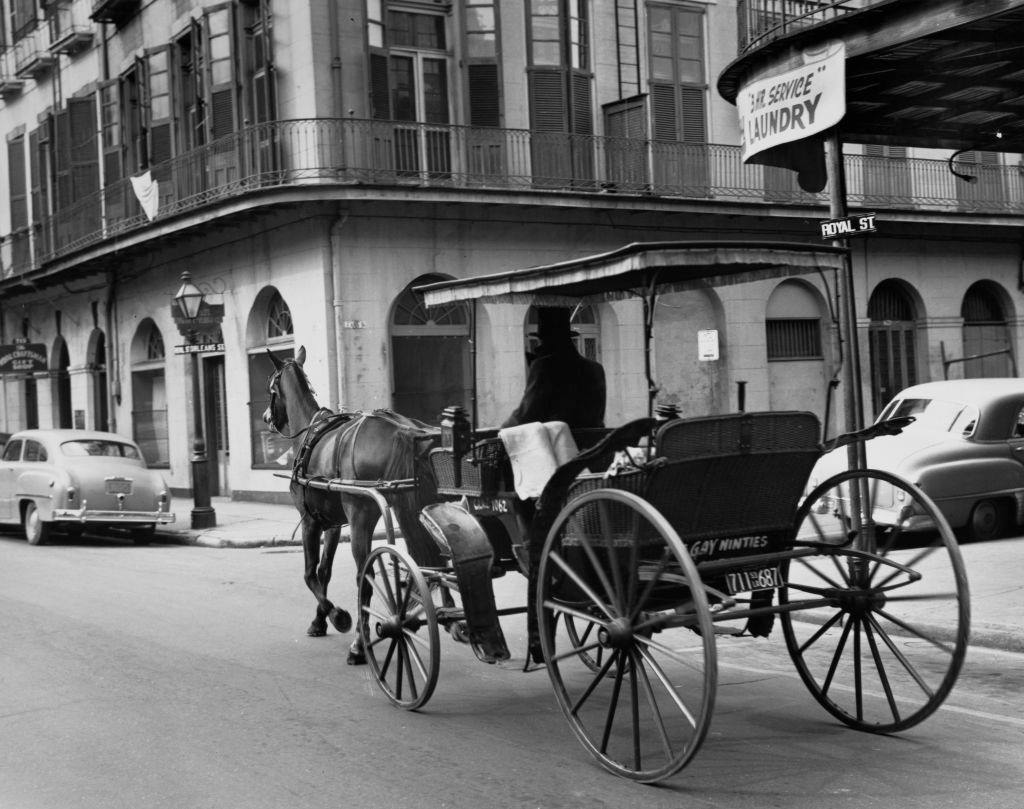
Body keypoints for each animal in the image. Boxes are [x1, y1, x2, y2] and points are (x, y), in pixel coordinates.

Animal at [262, 348, 442, 663]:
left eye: (271, 386)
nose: (265, 417)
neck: (310, 432)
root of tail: (407, 431)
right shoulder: (332, 524)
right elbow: (324, 572)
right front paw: (319, 621)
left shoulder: (310, 521)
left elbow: (310, 574)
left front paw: (337, 616)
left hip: (362, 517)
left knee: (366, 576)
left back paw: (361, 643)